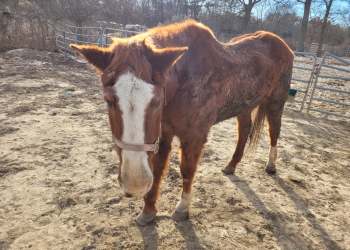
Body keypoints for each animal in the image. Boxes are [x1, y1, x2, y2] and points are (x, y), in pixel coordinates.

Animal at [70, 20, 292, 225]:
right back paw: (231, 165)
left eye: (156, 100)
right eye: (108, 100)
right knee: (244, 130)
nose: (135, 184)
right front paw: (148, 210)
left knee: (274, 131)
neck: (184, 81)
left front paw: (182, 209)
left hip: (276, 101)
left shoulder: (194, 136)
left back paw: (271, 166)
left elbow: (187, 169)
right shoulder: (163, 133)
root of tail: (283, 45)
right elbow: (158, 168)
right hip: (244, 106)